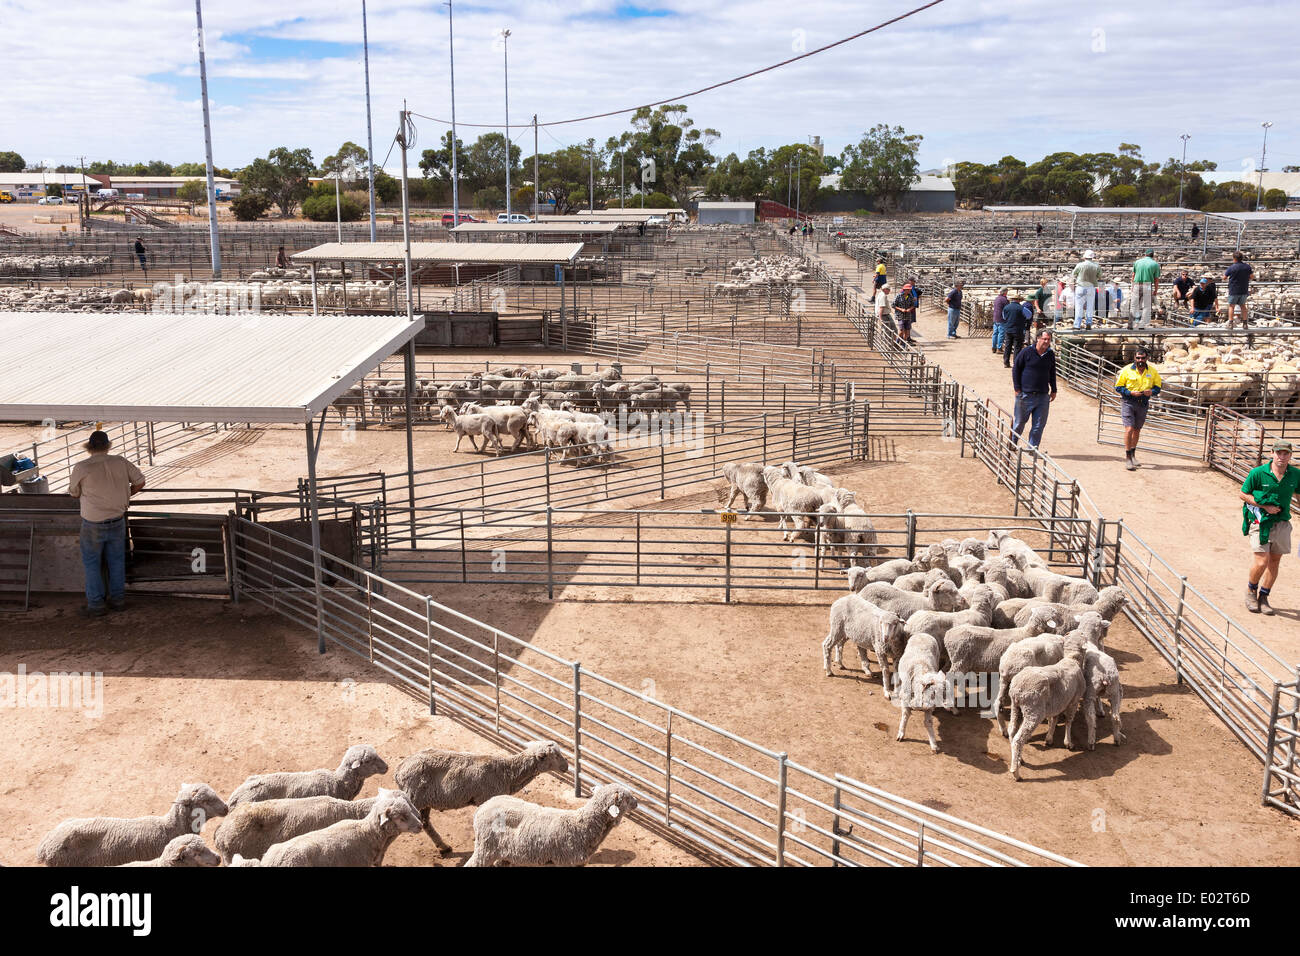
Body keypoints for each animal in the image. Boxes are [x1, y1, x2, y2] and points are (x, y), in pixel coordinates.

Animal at [393, 741, 569, 854]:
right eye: (554, 755)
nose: (566, 766)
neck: (507, 773)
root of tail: (399, 769)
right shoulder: (488, 798)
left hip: (425, 801)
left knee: (425, 823)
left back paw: (444, 847)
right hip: (414, 797)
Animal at [463, 783, 638, 867]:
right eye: (626, 798)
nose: (637, 802)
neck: (582, 827)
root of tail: (482, 807)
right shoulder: (566, 862)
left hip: (504, 853)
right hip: (486, 848)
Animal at [1008, 637, 1088, 779]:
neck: (1072, 660)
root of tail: (1018, 688)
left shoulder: (1057, 702)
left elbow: (1054, 719)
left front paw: (1049, 738)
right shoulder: (1073, 701)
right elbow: (1069, 721)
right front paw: (1068, 742)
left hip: (1016, 707)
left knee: (1012, 731)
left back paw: (1019, 759)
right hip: (1034, 711)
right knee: (1018, 739)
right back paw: (1015, 772)